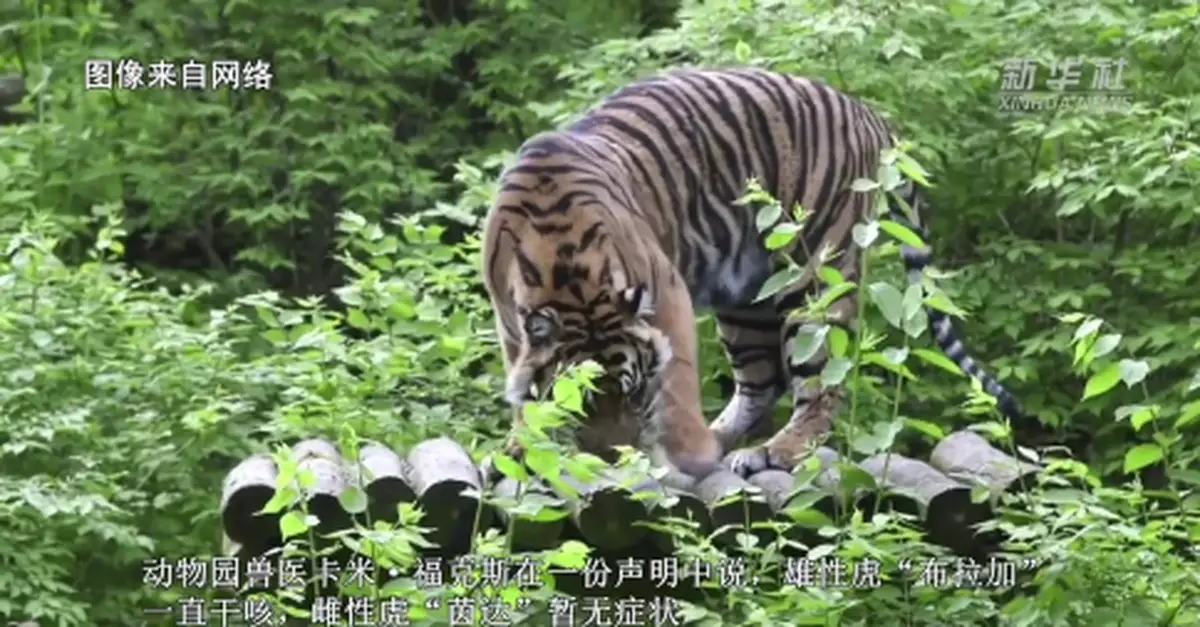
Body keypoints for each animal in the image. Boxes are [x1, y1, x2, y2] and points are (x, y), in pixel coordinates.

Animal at [480, 67, 1027, 480]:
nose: (613, 458)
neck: (565, 273)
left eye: (632, 392)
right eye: (582, 401)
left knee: (823, 382)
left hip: (813, 275)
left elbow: (679, 382)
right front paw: (516, 450)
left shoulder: (669, 293)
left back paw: (774, 451)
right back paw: (726, 438)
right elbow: (522, 398)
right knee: (762, 383)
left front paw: (690, 452)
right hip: (744, 297)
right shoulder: (511, 324)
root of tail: (865, 111)